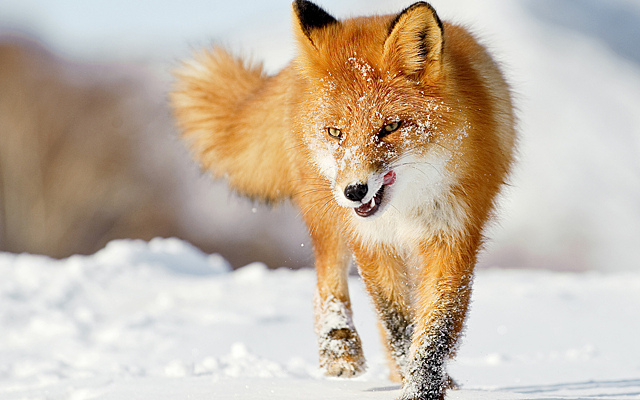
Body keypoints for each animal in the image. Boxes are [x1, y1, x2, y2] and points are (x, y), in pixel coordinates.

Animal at [169, 1, 516, 398]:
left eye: (390, 128)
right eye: (336, 132)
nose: (354, 191)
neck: (404, 209)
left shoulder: (453, 236)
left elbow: (434, 330)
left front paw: (422, 386)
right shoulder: (372, 241)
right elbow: (397, 322)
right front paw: (413, 379)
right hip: (327, 217)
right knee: (328, 280)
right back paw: (339, 350)